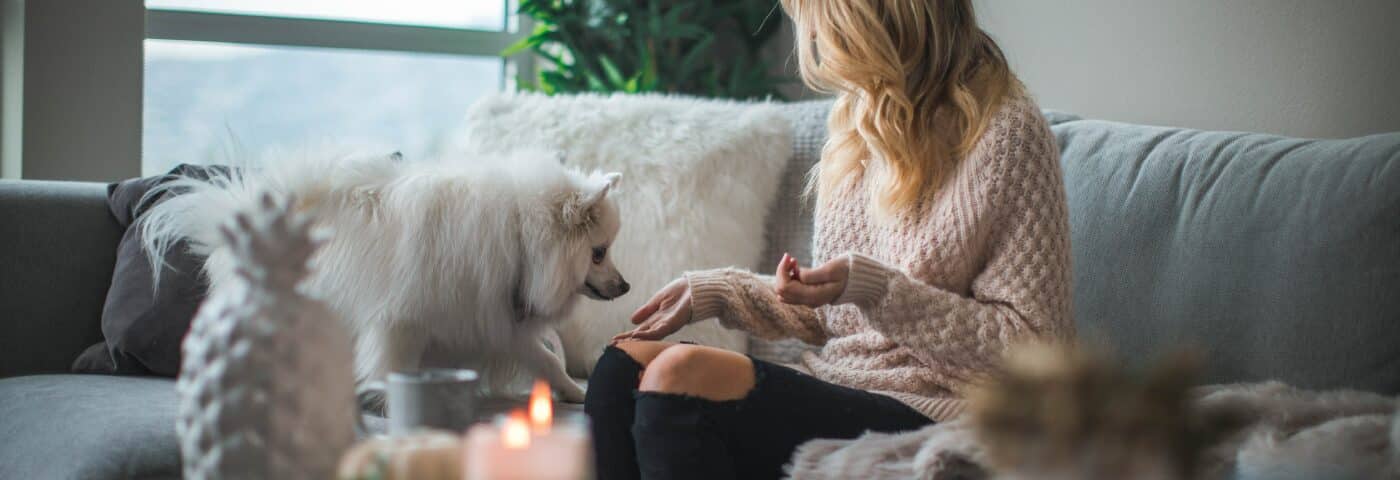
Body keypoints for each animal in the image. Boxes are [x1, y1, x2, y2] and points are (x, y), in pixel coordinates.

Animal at [140, 147, 624, 403]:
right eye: (599, 253)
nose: (626, 286)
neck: (519, 235)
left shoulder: (492, 317)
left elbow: (545, 358)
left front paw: (575, 392)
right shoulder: (402, 322)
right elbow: (394, 366)